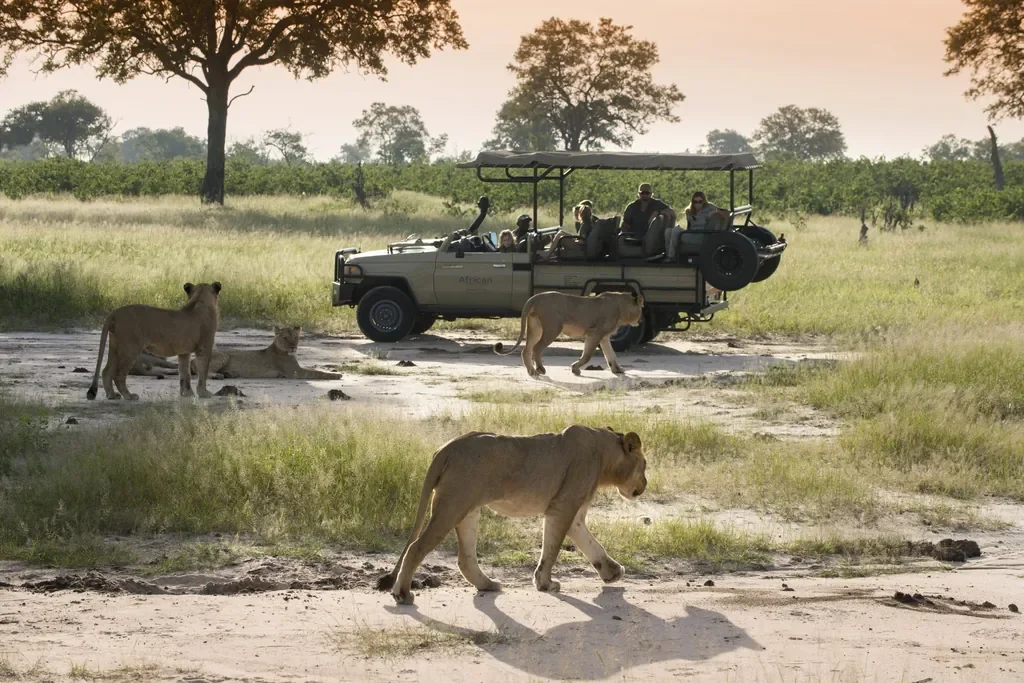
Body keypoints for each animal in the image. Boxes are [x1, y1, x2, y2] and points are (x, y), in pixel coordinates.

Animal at [86, 282, 221, 401]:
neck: (199, 299)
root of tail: (114, 313)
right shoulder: (204, 347)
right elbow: (203, 371)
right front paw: (203, 393)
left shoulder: (184, 352)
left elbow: (184, 373)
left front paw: (187, 393)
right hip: (131, 348)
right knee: (118, 374)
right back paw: (129, 396)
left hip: (115, 346)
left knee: (106, 371)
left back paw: (112, 395)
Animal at [188, 326, 342, 380]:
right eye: (285, 338)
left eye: (296, 337)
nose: (293, 347)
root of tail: (192, 360)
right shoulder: (295, 372)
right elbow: (318, 373)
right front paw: (337, 375)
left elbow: (316, 370)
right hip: (224, 355)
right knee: (204, 373)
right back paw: (218, 376)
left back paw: (228, 374)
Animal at [376, 425, 646, 605]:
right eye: (644, 465)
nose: (645, 485)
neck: (604, 453)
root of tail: (446, 447)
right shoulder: (562, 507)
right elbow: (552, 550)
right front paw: (545, 584)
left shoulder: (573, 514)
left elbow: (591, 544)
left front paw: (613, 572)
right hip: (451, 506)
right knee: (416, 548)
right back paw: (402, 594)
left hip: (468, 509)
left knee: (465, 558)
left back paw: (488, 585)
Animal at [494, 291, 644, 376]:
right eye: (642, 308)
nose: (642, 320)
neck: (621, 307)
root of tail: (535, 297)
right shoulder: (594, 333)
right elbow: (587, 355)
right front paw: (575, 369)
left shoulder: (604, 337)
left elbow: (611, 355)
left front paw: (618, 370)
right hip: (553, 328)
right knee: (536, 348)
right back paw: (540, 369)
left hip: (536, 328)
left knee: (526, 349)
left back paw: (531, 371)